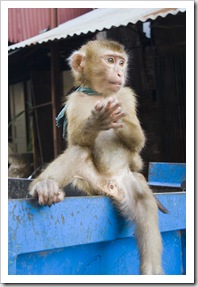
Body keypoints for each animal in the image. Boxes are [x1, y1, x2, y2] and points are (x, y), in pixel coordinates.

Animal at [29, 39, 164, 276]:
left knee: (142, 201)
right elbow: (76, 139)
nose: (119, 73)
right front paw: (97, 121)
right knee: (79, 151)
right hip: (89, 184)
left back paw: (151, 271)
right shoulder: (74, 99)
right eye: (109, 60)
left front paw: (121, 119)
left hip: (127, 181)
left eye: (121, 62)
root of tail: (110, 186)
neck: (98, 94)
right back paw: (45, 186)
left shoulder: (126, 95)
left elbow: (137, 141)